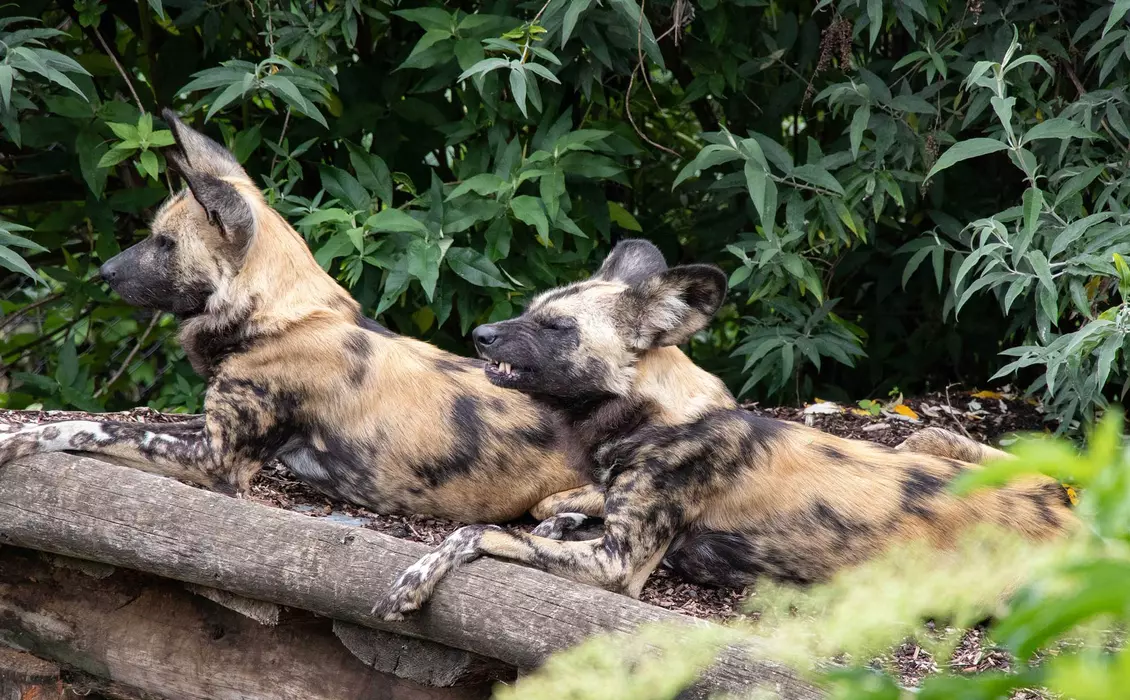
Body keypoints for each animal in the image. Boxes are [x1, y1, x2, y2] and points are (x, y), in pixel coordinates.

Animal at [0, 110, 596, 524]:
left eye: (165, 244)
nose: (103, 272)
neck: (274, 318)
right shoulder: (204, 427)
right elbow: (126, 422)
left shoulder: (216, 459)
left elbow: (91, 426)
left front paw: (19, 442)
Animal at [375, 239, 1071, 619]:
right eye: (529, 311)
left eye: (556, 328)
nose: (480, 335)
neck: (654, 414)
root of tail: (1071, 517)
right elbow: (551, 506)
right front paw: (563, 516)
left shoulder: (615, 568)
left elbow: (476, 532)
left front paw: (412, 580)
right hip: (925, 440)